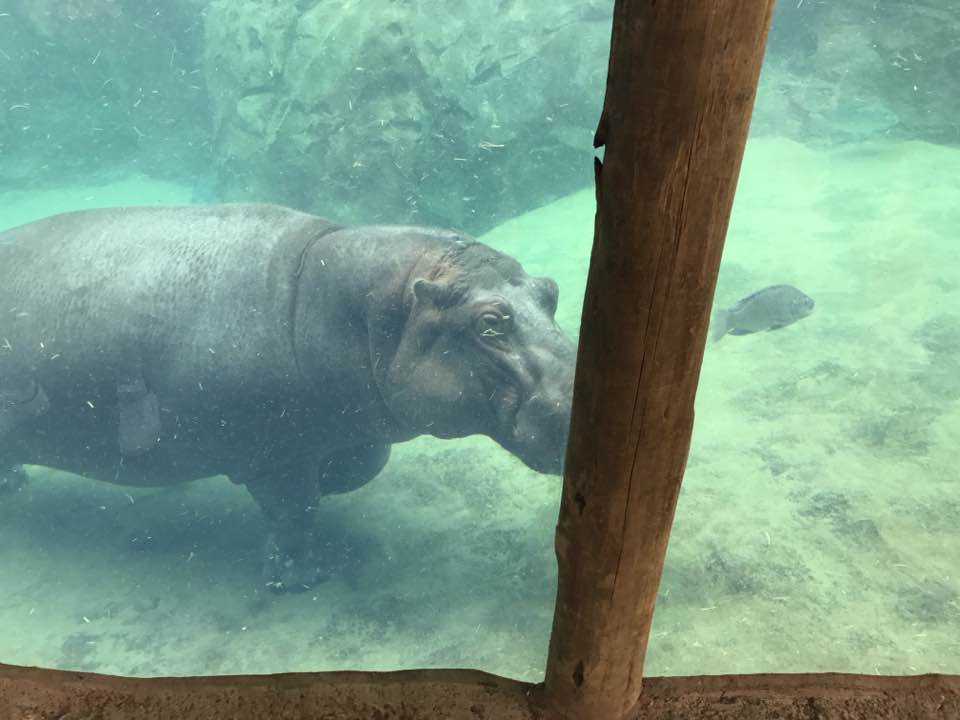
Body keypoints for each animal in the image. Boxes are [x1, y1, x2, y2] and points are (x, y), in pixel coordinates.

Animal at [0, 203, 575, 590]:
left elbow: (366, 464)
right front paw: (300, 579)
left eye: (550, 291)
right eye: (489, 323)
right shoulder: (276, 453)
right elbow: (295, 511)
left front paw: (338, 478)